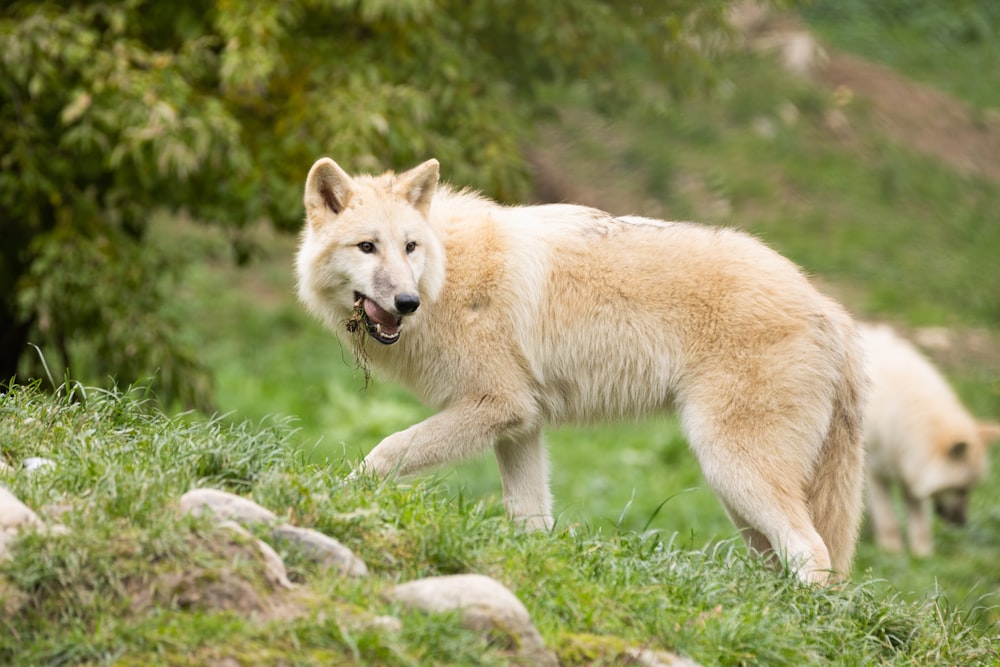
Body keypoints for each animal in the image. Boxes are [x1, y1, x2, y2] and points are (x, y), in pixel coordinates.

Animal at [292, 159, 864, 580]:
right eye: (367, 247)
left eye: (409, 247)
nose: (406, 302)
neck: (447, 275)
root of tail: (829, 309)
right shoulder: (520, 423)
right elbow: (531, 518)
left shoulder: (496, 405)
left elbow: (385, 450)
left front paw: (339, 496)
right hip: (736, 494)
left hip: (730, 465)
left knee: (813, 553)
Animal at [860, 326, 1000, 556]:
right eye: (960, 490)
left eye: (969, 490)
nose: (962, 524)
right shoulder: (875, 473)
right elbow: (888, 519)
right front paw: (892, 549)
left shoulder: (909, 470)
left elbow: (920, 522)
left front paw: (921, 553)